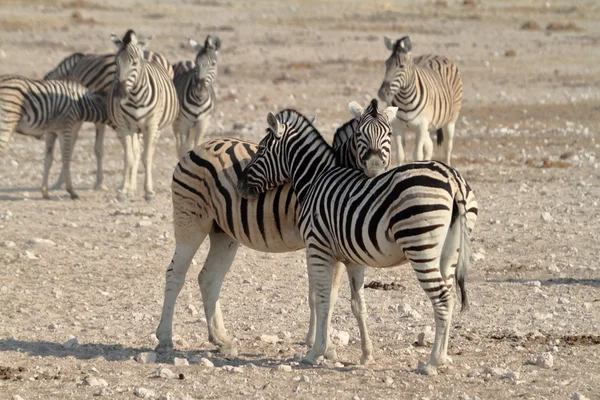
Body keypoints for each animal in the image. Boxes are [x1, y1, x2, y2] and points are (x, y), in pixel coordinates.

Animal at [107, 29, 178, 202]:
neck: (135, 97)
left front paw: (149, 191)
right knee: (135, 153)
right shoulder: (124, 127)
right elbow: (129, 157)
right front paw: (124, 191)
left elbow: (147, 157)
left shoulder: (151, 126)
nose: (120, 94)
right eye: (116, 63)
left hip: (154, 129)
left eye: (134, 63)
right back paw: (130, 189)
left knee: (146, 152)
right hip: (134, 129)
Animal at [155, 101, 398, 366]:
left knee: (208, 278)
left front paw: (320, 343)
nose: (375, 170)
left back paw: (221, 340)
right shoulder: (321, 244)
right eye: (359, 135)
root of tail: (194, 150)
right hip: (191, 223)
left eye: (390, 134)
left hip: (223, 233)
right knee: (175, 274)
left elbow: (328, 296)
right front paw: (324, 346)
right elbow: (325, 296)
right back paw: (165, 338)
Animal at [238, 101, 478, 376]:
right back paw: (445, 357)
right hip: (450, 251)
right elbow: (357, 305)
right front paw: (366, 355)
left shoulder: (318, 248)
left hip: (421, 246)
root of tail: (452, 179)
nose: (240, 185)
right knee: (450, 295)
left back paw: (432, 362)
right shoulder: (352, 258)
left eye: (261, 150)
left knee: (442, 299)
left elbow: (322, 299)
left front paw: (316, 352)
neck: (315, 179)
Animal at [380, 34, 464, 166]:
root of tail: (436, 54)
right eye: (386, 64)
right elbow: (400, 155)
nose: (382, 93)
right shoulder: (398, 127)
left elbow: (417, 155)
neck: (405, 99)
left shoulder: (420, 127)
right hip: (428, 127)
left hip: (450, 121)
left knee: (447, 147)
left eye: (401, 66)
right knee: (429, 146)